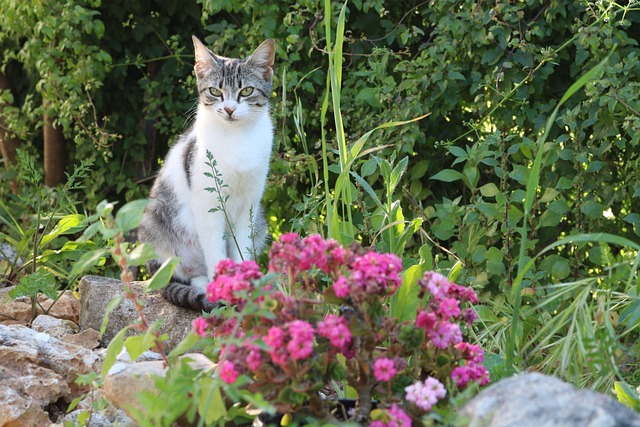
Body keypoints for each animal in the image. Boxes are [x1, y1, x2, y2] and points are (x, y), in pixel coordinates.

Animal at [138, 36, 276, 310]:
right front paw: (222, 290)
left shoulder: (249, 206)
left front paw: (244, 288)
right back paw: (202, 286)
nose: (230, 109)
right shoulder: (208, 205)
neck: (236, 138)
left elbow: (241, 249)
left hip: (260, 222)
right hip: (153, 224)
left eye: (246, 91)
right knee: (177, 275)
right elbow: (215, 252)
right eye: (215, 91)